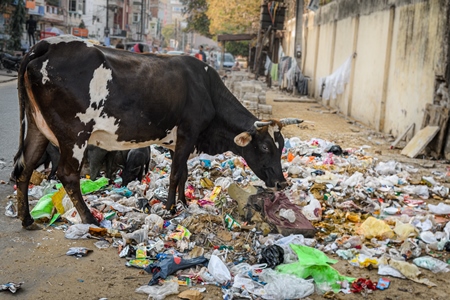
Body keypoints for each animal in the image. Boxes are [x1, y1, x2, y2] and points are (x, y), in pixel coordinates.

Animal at [13, 35, 302, 229]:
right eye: (265, 147)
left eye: (282, 145)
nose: (282, 183)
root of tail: (47, 44)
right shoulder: (187, 133)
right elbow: (175, 174)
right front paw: (170, 208)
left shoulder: (180, 142)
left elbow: (183, 174)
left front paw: (184, 203)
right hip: (74, 134)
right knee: (67, 175)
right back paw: (89, 219)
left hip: (37, 127)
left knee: (24, 167)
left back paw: (26, 218)